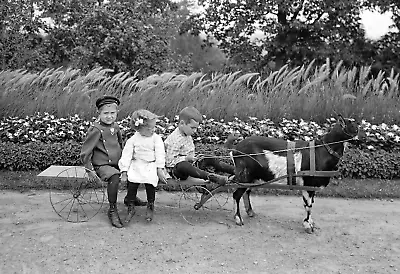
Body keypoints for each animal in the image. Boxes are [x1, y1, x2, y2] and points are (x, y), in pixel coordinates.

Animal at [227, 115, 364, 233]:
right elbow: (308, 205)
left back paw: (250, 212)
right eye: (355, 127)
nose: (364, 139)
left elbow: (311, 203)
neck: (322, 151)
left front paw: (311, 223)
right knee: (236, 194)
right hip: (245, 175)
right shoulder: (308, 183)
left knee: (246, 192)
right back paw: (238, 219)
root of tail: (235, 148)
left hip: (253, 176)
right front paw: (308, 225)